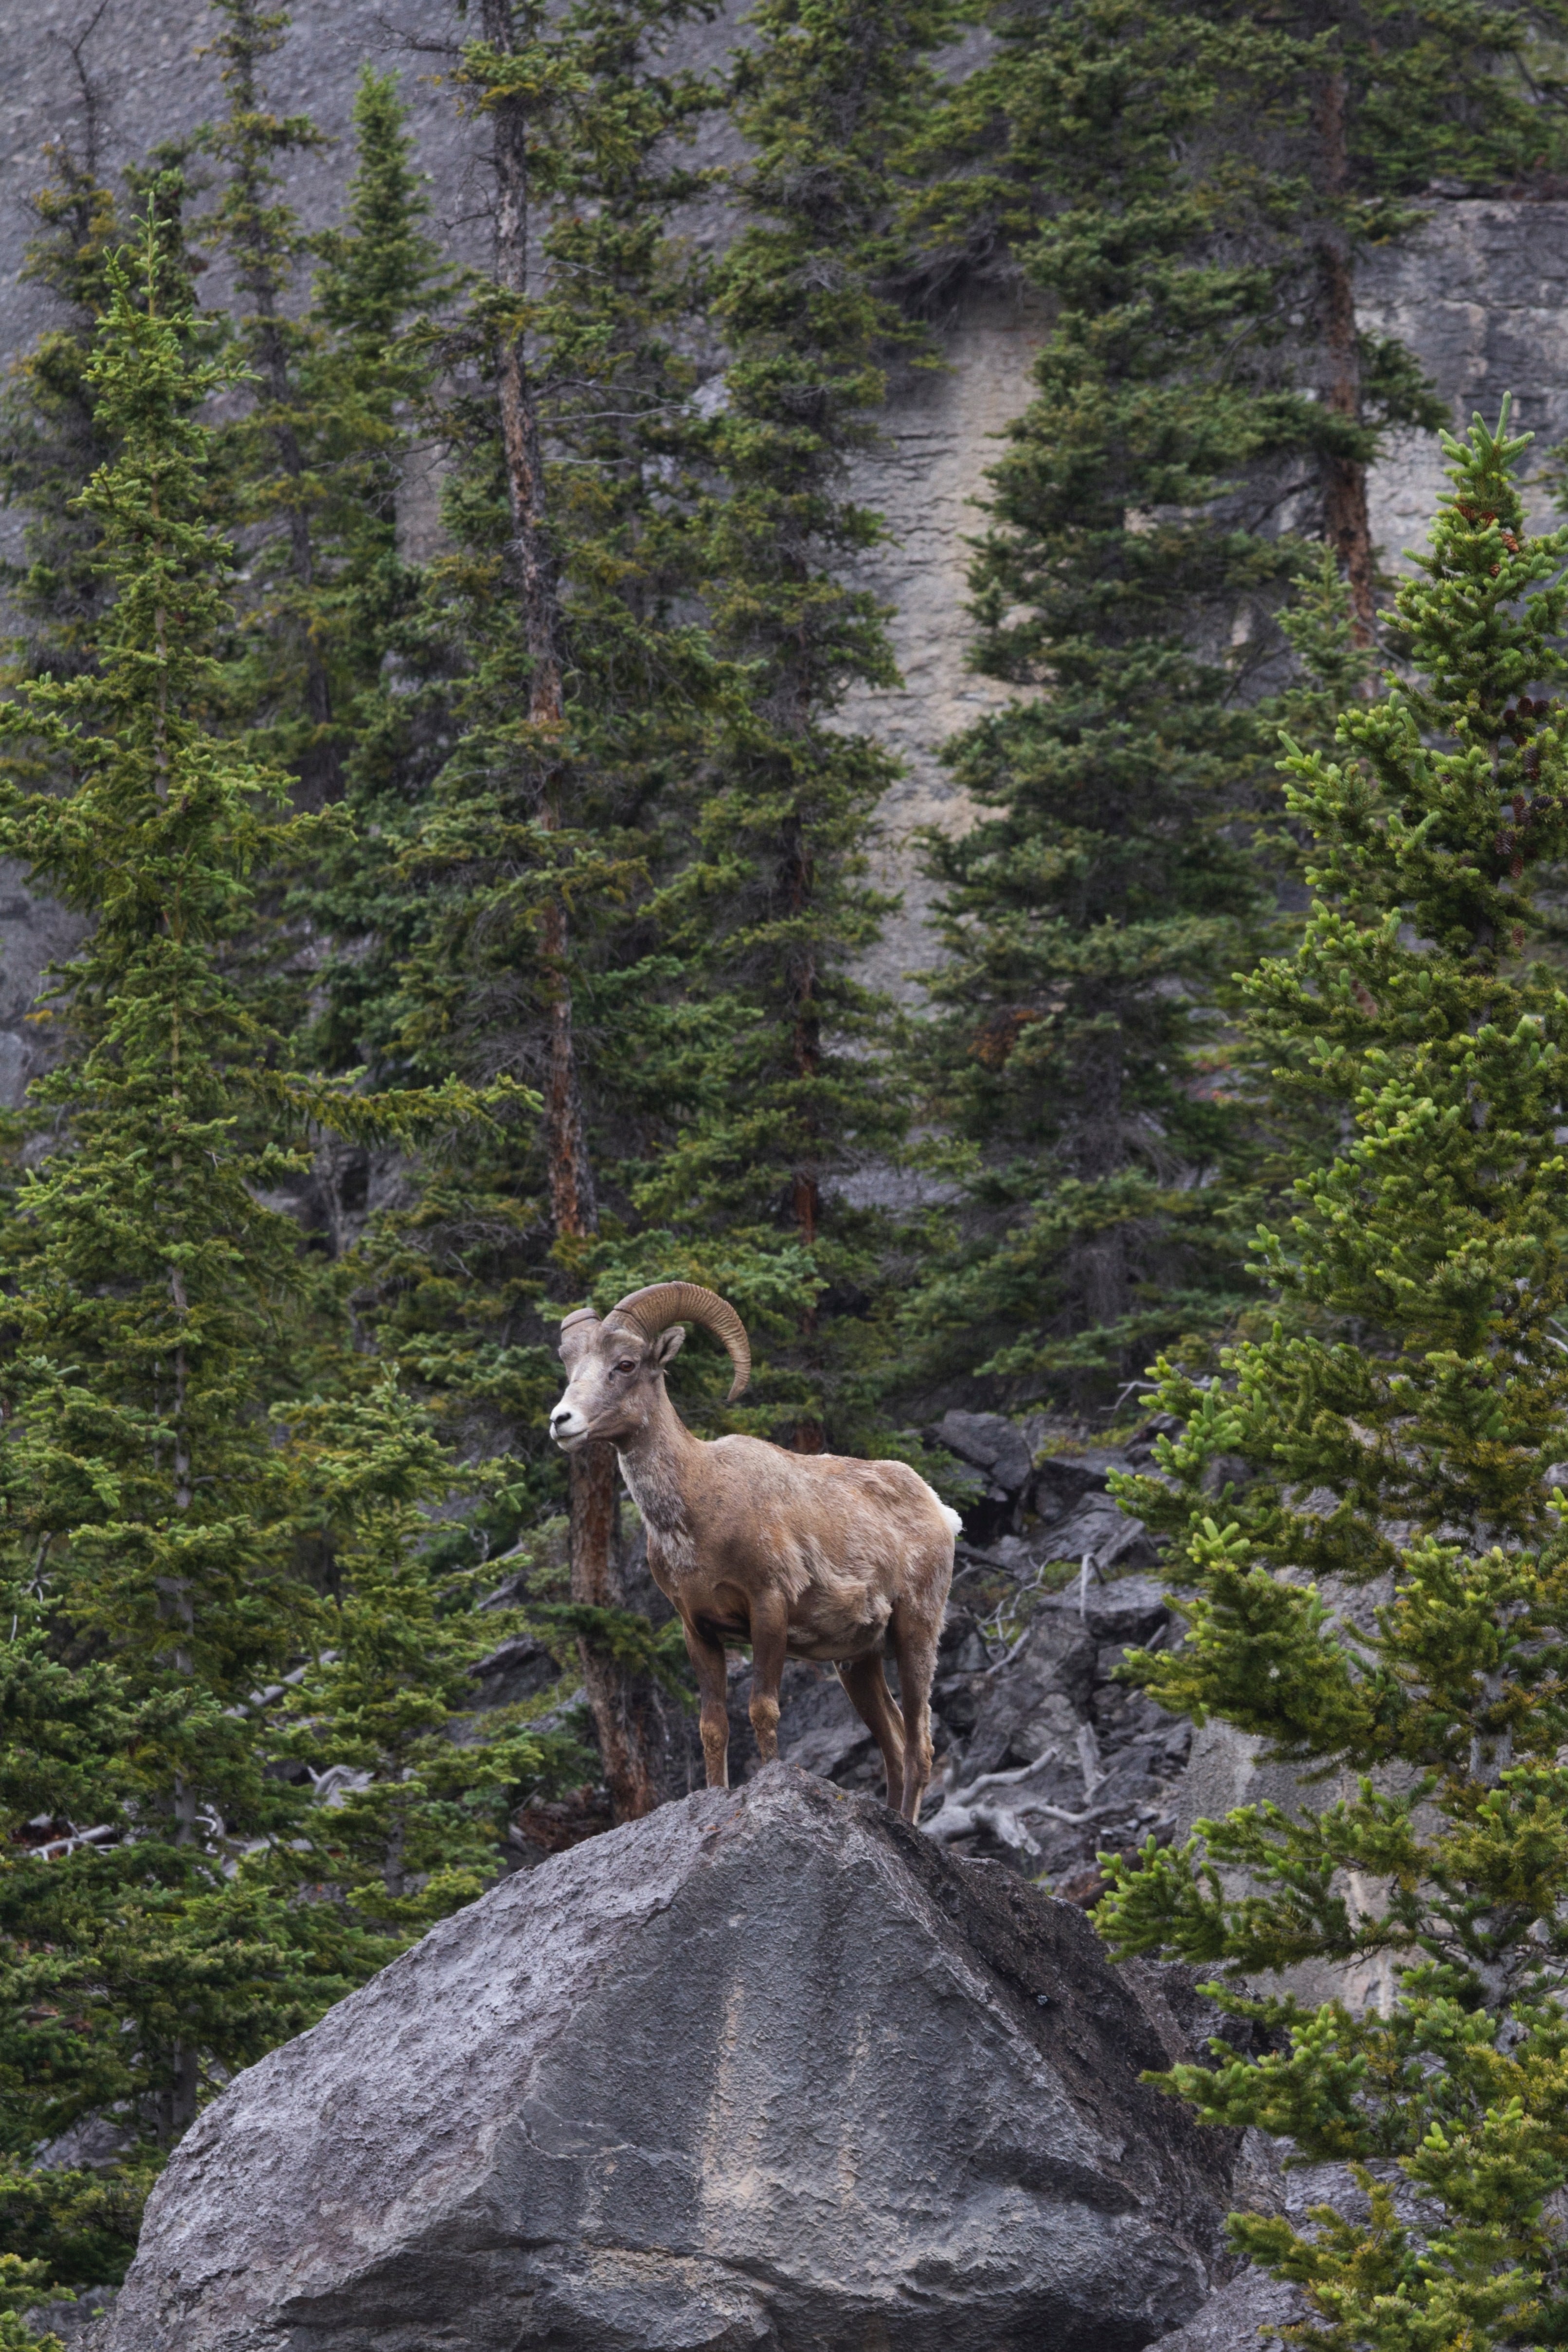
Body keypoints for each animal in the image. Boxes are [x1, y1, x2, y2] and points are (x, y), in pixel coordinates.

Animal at [549, 1283, 958, 1822]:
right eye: (571, 1366)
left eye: (626, 1364)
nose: (561, 1421)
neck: (699, 1507)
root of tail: (939, 1510)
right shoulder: (698, 1629)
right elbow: (713, 1725)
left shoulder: (768, 1608)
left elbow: (762, 1709)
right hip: (857, 1661)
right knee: (892, 1742)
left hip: (916, 1632)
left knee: (918, 1745)